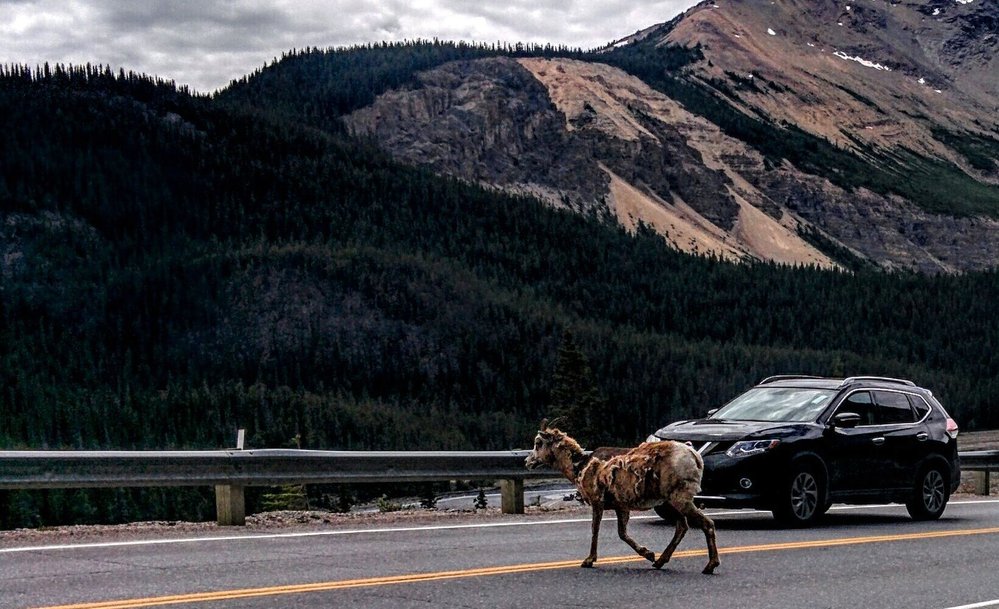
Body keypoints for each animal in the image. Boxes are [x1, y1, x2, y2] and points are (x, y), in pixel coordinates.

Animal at [524, 416, 720, 572]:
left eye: (538, 443)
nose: (527, 461)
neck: (579, 468)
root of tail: (695, 457)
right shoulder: (621, 507)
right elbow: (622, 533)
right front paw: (649, 554)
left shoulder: (597, 501)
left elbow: (595, 529)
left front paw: (588, 561)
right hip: (669, 501)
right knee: (682, 526)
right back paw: (659, 561)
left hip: (679, 498)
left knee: (706, 523)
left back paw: (710, 566)